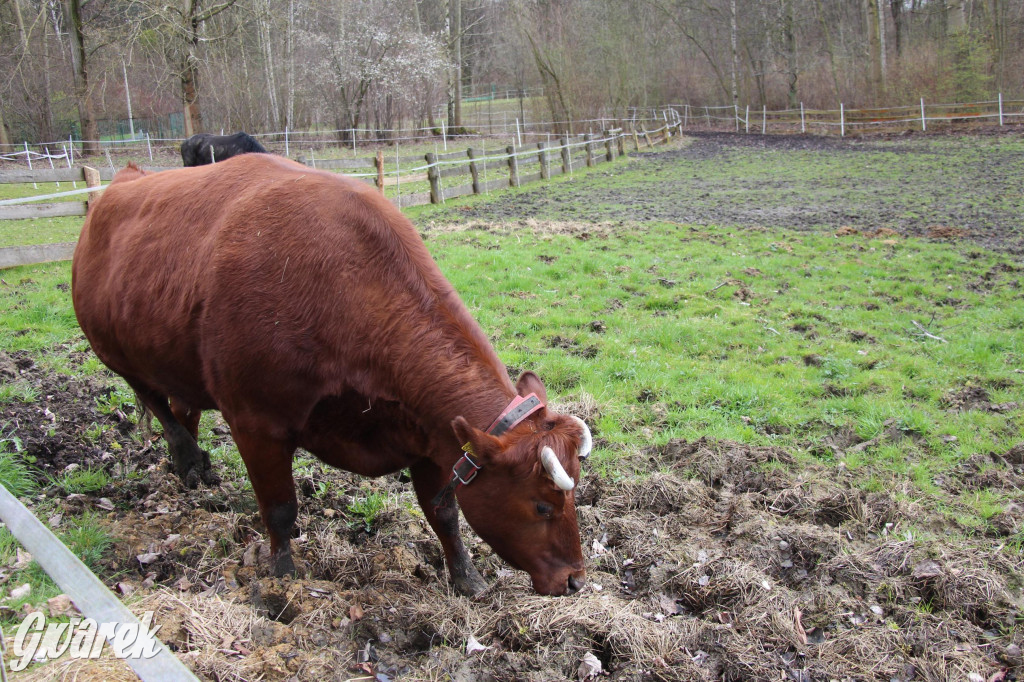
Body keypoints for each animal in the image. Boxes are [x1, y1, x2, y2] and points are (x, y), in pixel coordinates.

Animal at [74, 151, 593, 593]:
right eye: (542, 504)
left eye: (574, 497)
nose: (575, 580)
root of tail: (126, 179)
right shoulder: (256, 423)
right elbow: (280, 510)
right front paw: (284, 579)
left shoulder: (431, 436)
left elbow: (443, 512)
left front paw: (467, 578)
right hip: (114, 351)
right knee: (156, 402)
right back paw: (186, 457)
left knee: (182, 404)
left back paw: (193, 467)